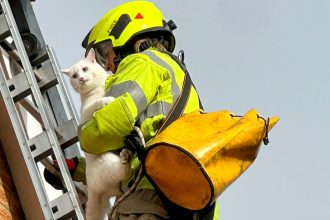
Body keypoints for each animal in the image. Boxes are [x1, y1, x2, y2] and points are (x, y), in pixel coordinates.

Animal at [62, 49, 131, 220]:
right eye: (74, 75)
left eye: (85, 69)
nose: (80, 78)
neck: (97, 88)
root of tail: (92, 190)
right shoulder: (86, 114)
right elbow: (97, 103)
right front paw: (107, 100)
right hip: (107, 163)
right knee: (121, 171)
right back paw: (126, 158)